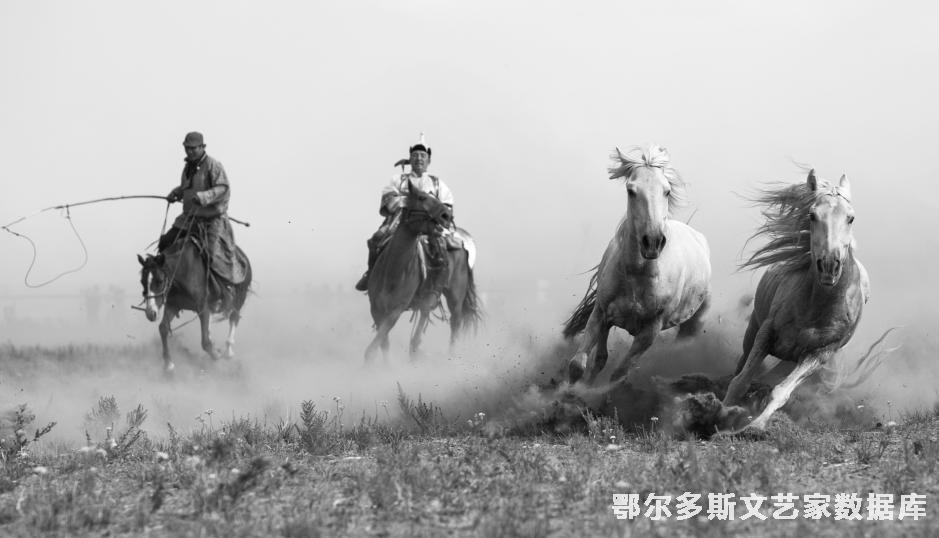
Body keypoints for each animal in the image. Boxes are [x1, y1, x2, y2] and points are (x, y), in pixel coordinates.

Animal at [137, 239, 252, 372]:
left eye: (160, 281)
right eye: (142, 281)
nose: (150, 313)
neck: (183, 272)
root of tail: (242, 255)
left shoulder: (203, 309)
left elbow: (205, 342)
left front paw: (216, 354)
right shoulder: (173, 305)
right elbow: (163, 328)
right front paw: (168, 363)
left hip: (240, 295)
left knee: (234, 317)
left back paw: (228, 350)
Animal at [364, 180, 482, 361]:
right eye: (421, 197)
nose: (447, 216)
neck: (392, 271)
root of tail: (463, 241)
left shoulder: (395, 311)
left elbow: (372, 348)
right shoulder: (376, 309)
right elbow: (383, 344)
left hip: (455, 296)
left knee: (455, 323)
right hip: (426, 301)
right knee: (418, 334)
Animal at [564, 145, 711, 385]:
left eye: (666, 191)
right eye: (631, 190)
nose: (652, 241)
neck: (637, 275)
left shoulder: (649, 332)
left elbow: (619, 373)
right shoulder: (601, 313)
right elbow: (582, 364)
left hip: (691, 325)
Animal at [720, 170, 869, 431]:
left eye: (850, 218)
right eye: (812, 215)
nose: (829, 265)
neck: (816, 308)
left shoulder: (819, 355)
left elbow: (781, 392)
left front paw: (755, 426)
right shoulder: (765, 334)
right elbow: (741, 380)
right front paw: (721, 414)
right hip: (753, 329)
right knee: (740, 367)